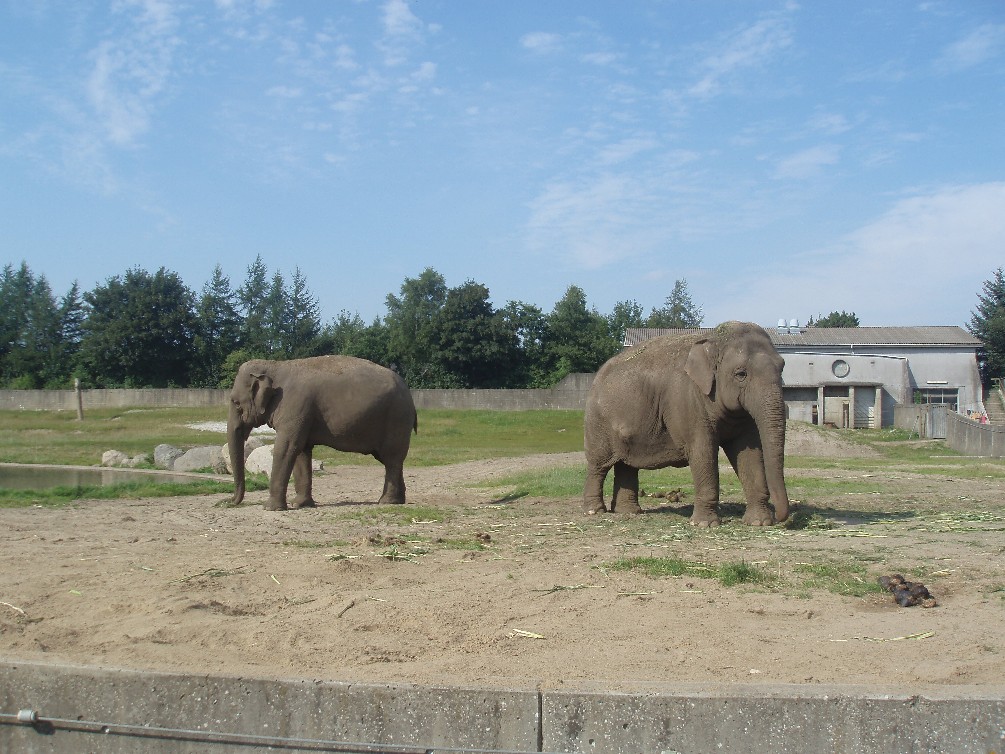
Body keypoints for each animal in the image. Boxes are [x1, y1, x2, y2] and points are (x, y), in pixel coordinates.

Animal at [227, 355, 417, 511]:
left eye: (236, 403)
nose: (230, 501)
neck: (275, 365)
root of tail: (409, 394)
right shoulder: (303, 415)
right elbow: (301, 450)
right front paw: (300, 504)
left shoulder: (295, 406)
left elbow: (286, 447)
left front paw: (270, 508)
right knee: (391, 459)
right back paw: (398, 500)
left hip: (396, 418)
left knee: (391, 458)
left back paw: (386, 502)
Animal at [583, 321, 791, 527]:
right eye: (741, 374)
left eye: (782, 367)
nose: (780, 518)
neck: (713, 338)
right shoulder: (687, 401)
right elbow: (702, 450)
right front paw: (705, 524)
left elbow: (749, 451)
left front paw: (760, 522)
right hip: (597, 421)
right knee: (598, 465)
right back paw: (595, 511)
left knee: (626, 464)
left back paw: (629, 512)